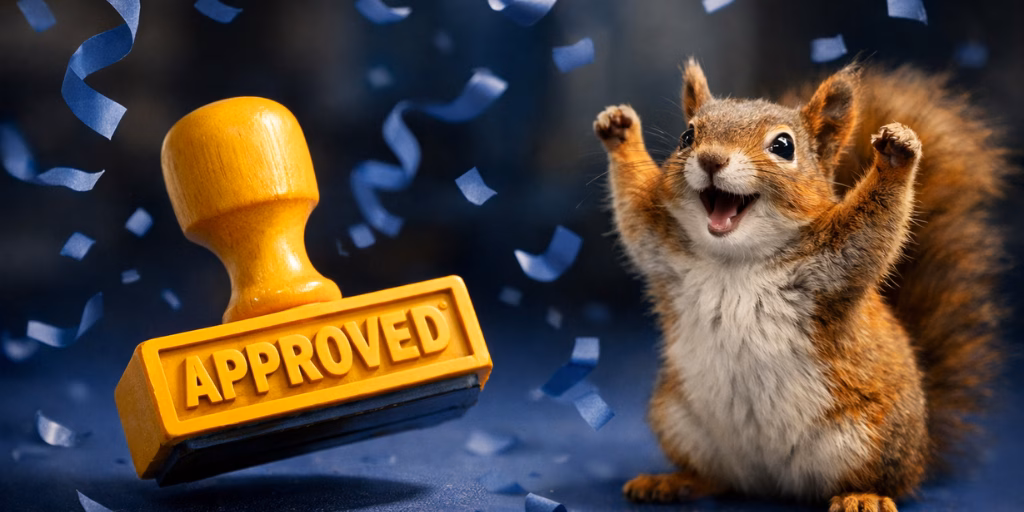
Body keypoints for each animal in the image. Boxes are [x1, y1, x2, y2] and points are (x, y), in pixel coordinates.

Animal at [593, 59, 1008, 512]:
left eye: (783, 146)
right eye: (688, 136)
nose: (711, 159)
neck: (735, 259)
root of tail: (769, 482)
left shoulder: (837, 261)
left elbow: (876, 228)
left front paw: (897, 155)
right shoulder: (663, 248)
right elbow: (633, 212)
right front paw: (619, 129)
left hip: (872, 439)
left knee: (886, 480)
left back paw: (862, 496)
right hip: (680, 422)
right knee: (714, 478)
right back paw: (673, 481)